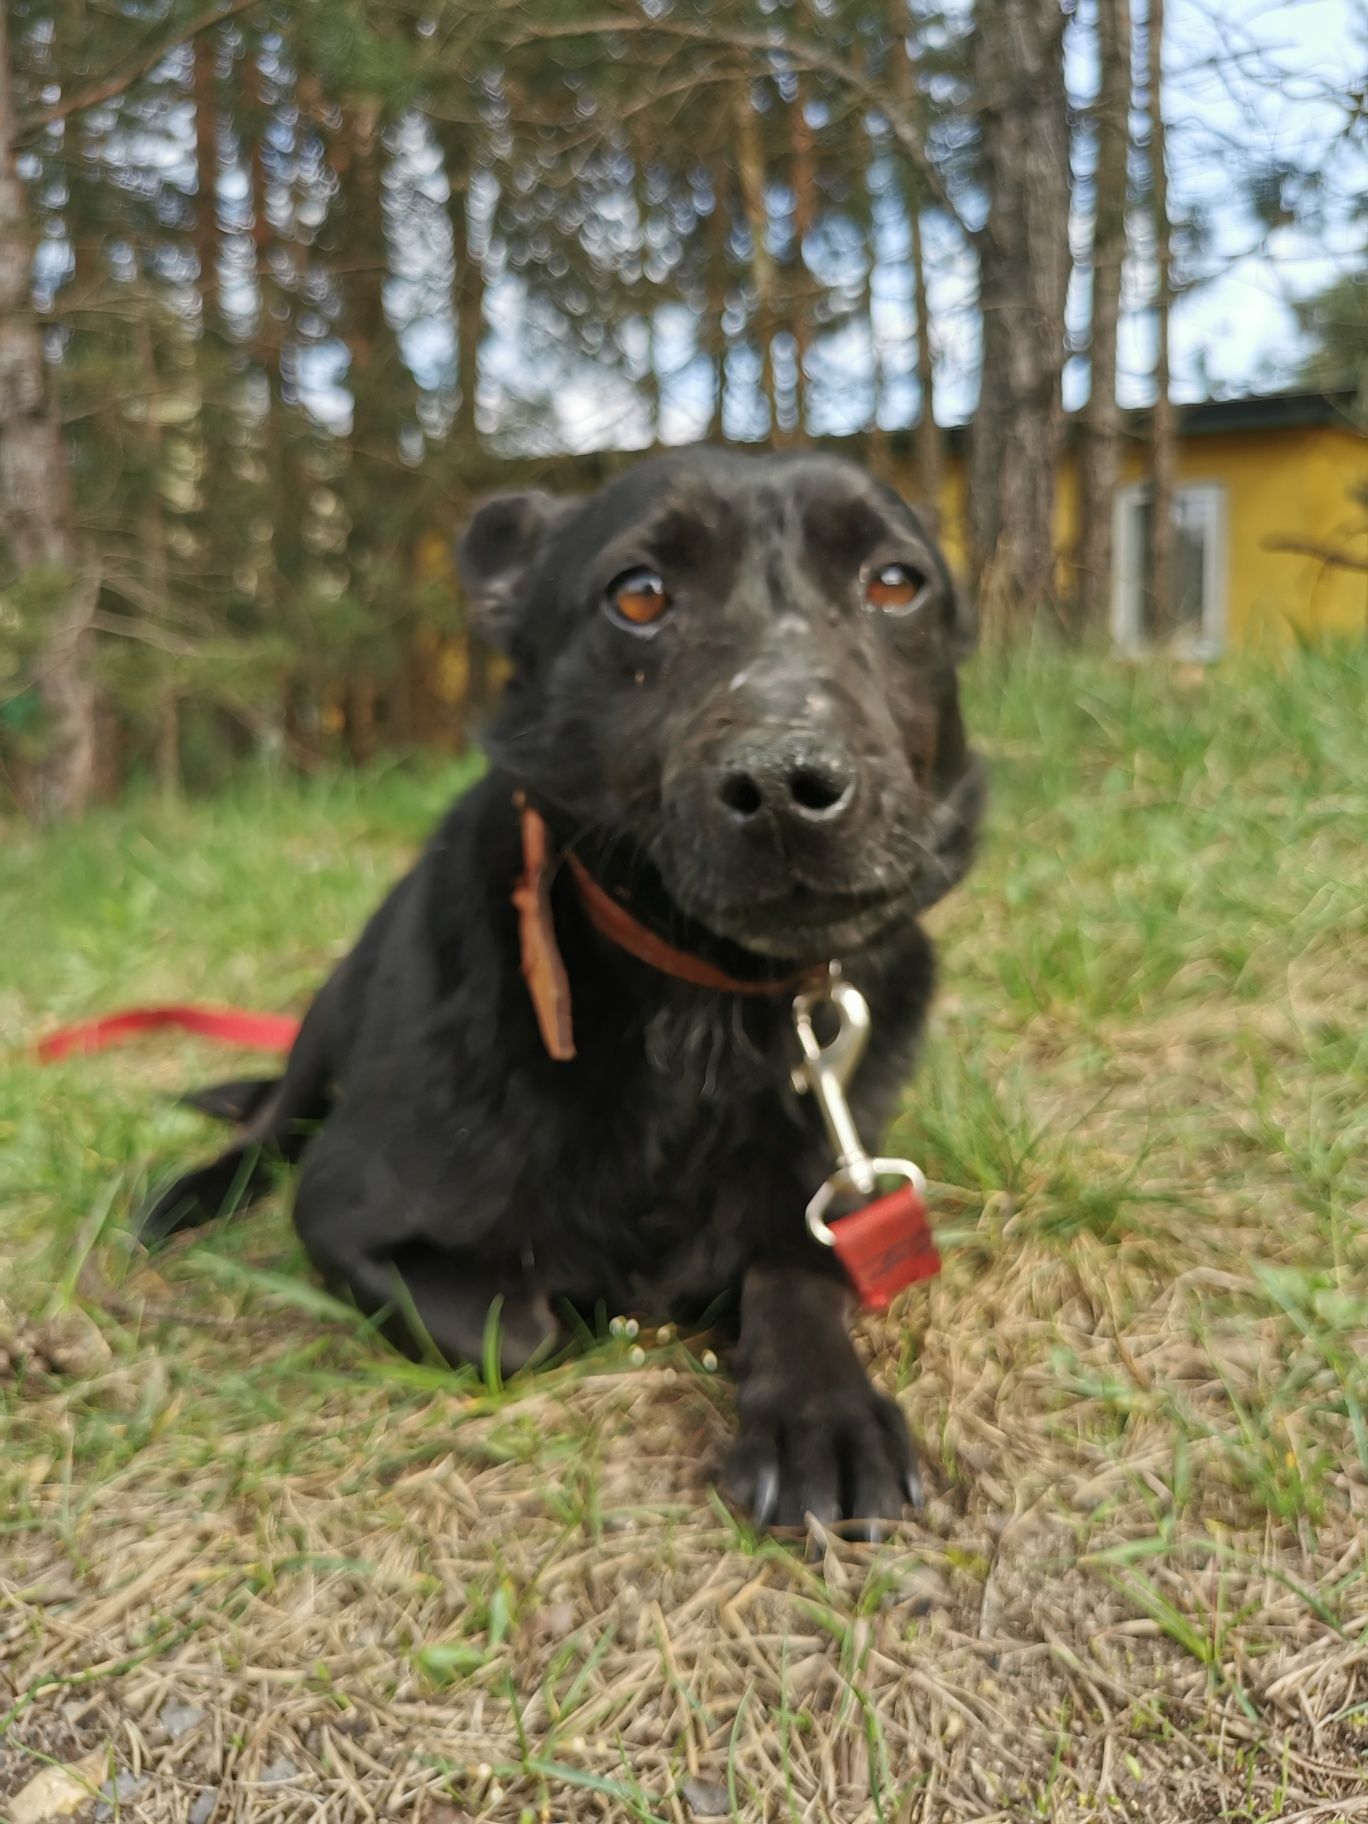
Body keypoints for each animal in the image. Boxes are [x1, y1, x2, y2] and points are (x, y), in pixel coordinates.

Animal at [145, 448, 984, 1532]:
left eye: (894, 582)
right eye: (639, 595)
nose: (785, 785)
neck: (706, 1007)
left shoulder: (832, 1199)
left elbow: (795, 1279)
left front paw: (822, 1415)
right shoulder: (342, 1214)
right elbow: (524, 1328)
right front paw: (603, 1304)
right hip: (328, 1018)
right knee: (271, 1123)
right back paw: (191, 1194)